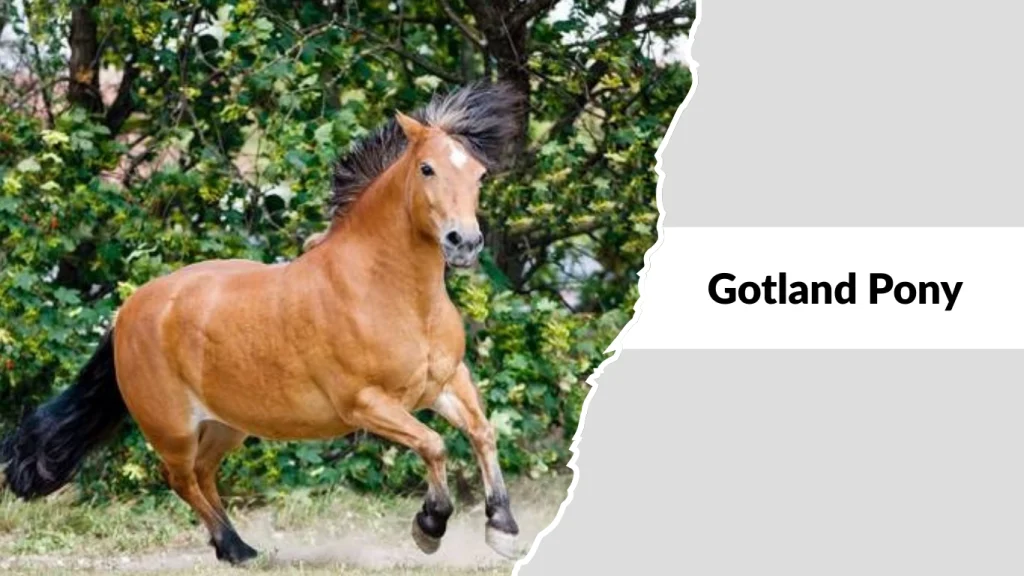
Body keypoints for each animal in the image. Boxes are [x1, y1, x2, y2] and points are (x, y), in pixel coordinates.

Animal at [0, 82, 526, 565]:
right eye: (426, 168)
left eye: (479, 173)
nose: (464, 242)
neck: (395, 296)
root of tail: (127, 311)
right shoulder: (366, 404)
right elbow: (434, 444)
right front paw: (429, 525)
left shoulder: (445, 382)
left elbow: (483, 432)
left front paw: (502, 528)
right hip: (173, 429)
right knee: (180, 477)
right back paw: (235, 549)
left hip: (227, 423)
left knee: (204, 473)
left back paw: (236, 547)